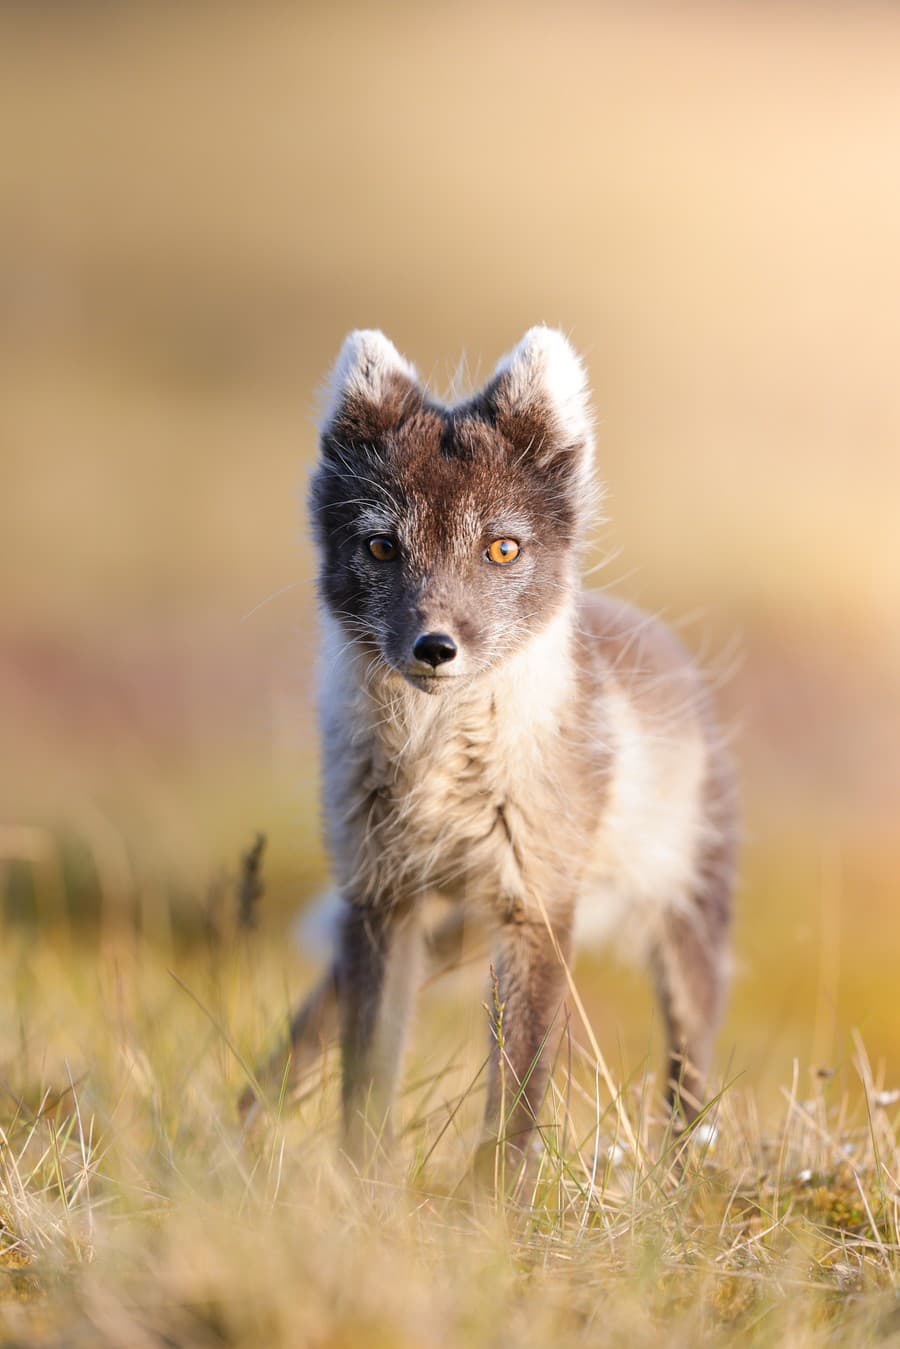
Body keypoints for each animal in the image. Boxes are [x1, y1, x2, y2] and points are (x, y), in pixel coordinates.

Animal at [242, 326, 734, 1170]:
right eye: (381, 547)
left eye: (502, 549)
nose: (435, 646)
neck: (439, 763)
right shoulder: (378, 896)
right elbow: (366, 1073)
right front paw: (363, 1183)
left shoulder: (536, 905)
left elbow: (518, 1094)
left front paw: (496, 1198)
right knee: (313, 1028)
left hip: (687, 920)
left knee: (688, 1073)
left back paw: (680, 1171)